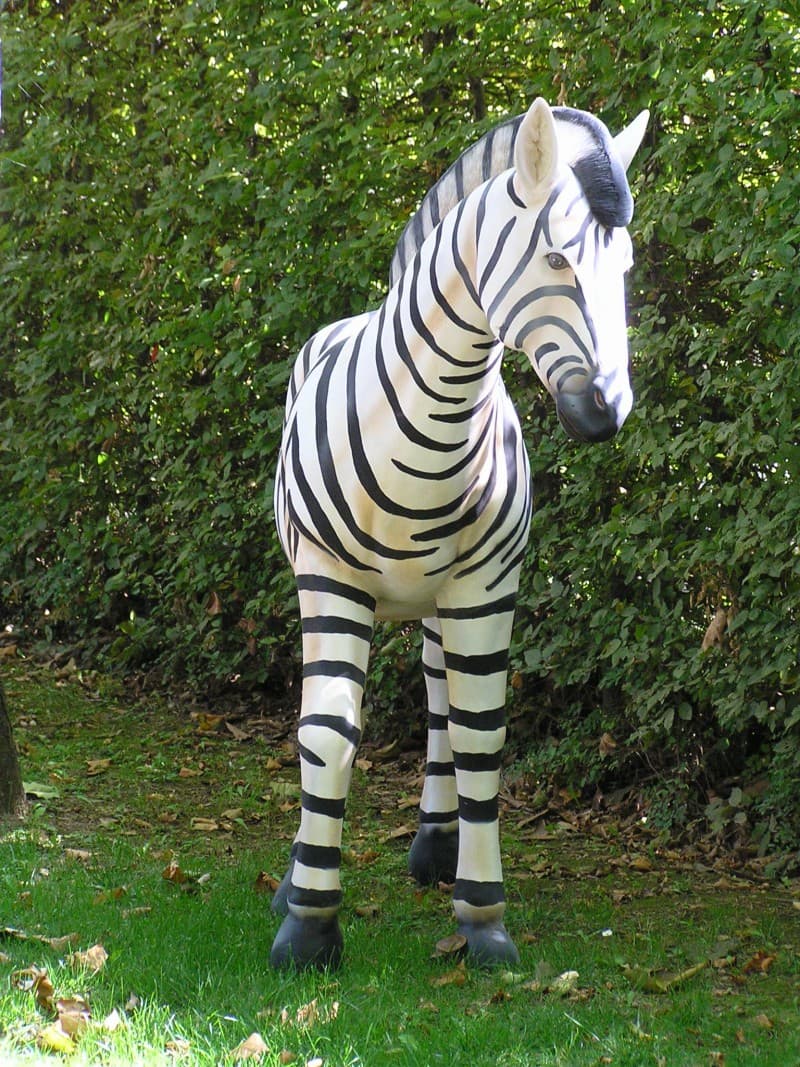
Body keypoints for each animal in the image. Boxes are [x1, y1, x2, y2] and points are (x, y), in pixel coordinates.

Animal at [271, 97, 648, 970]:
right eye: (556, 256)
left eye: (626, 269)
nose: (606, 413)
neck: (428, 424)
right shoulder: (329, 581)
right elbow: (327, 734)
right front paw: (307, 920)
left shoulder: (485, 588)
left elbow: (482, 733)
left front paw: (482, 914)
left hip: (441, 601)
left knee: (442, 696)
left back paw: (439, 845)